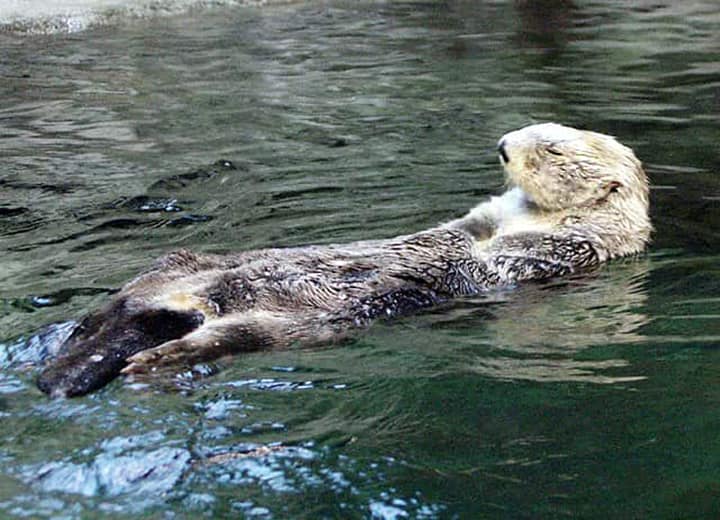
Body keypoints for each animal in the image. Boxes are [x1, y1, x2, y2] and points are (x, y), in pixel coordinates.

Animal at [37, 123, 651, 398]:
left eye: (553, 148)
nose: (502, 146)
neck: (532, 216)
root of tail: (189, 302)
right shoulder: (491, 215)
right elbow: (464, 228)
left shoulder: (565, 251)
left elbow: (489, 260)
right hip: (180, 264)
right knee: (134, 297)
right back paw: (83, 332)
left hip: (297, 326)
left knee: (222, 336)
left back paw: (149, 359)